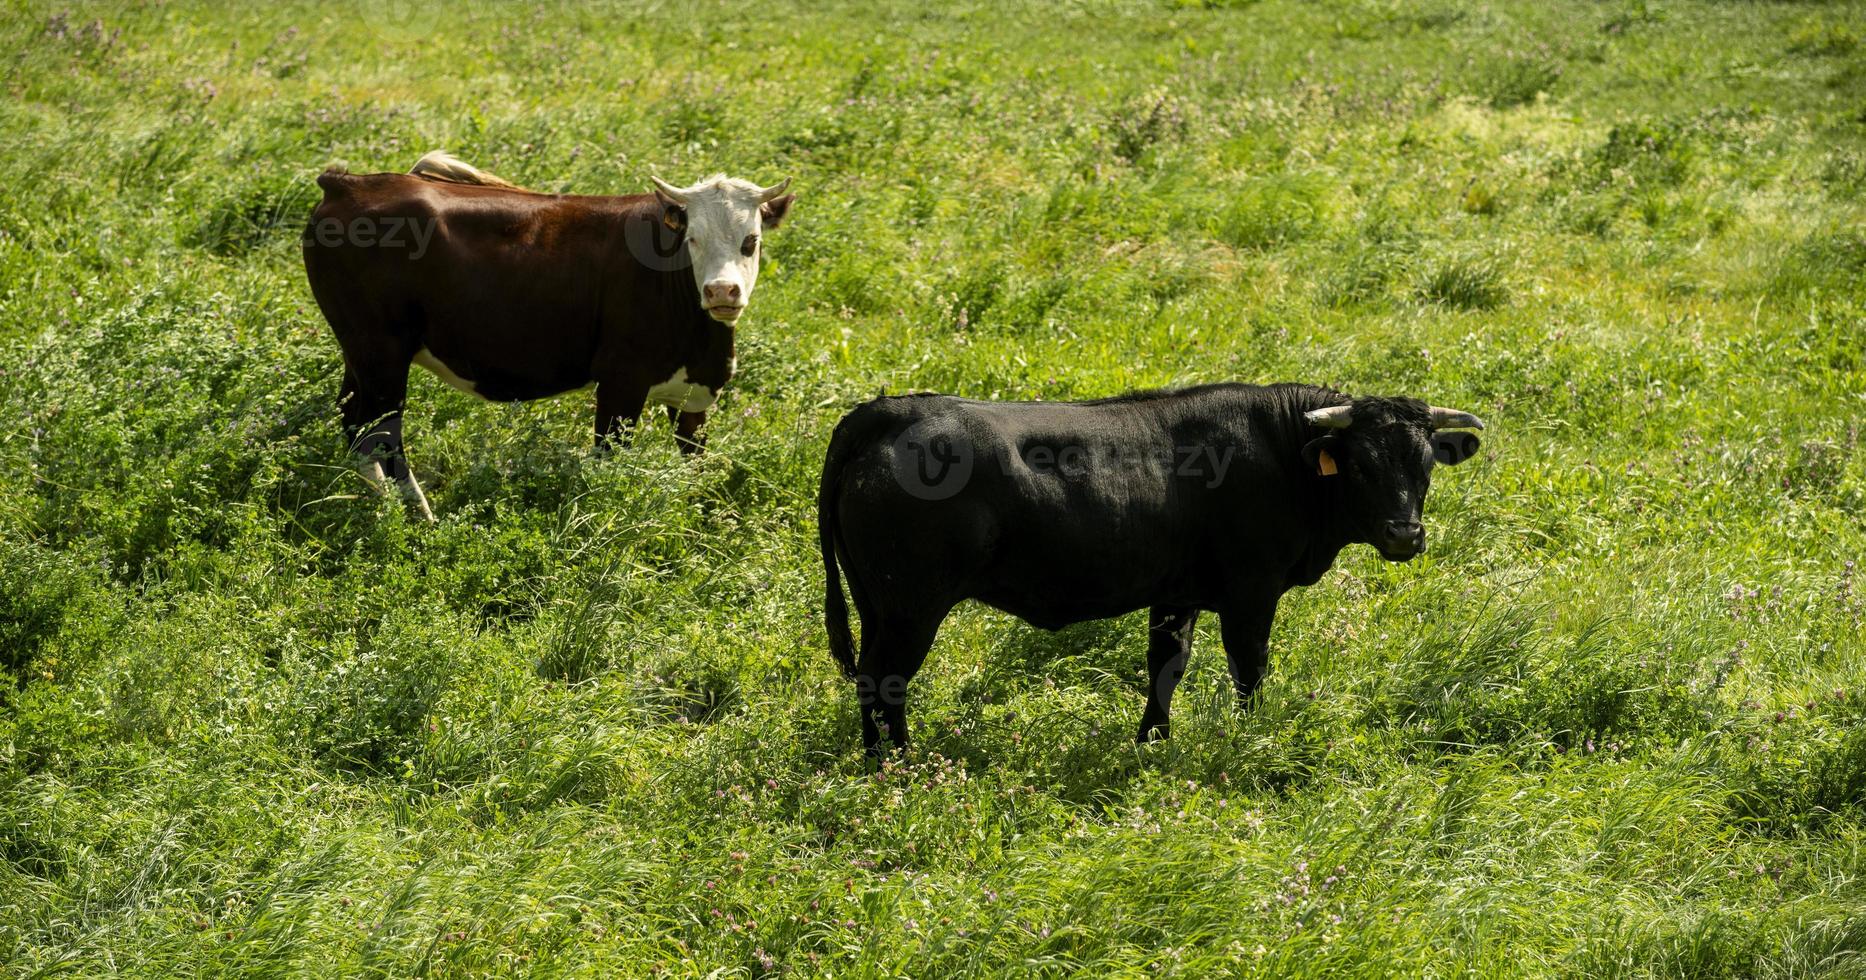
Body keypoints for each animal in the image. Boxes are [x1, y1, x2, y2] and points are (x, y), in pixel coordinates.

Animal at [304, 151, 794, 518]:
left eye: (751, 240)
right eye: (693, 238)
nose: (721, 290)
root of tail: (348, 183)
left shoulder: (692, 396)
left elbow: (696, 467)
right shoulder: (621, 383)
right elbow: (607, 465)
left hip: (361, 353)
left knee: (353, 423)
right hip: (381, 352)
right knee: (381, 433)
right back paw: (418, 517)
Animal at [817, 380, 1485, 750]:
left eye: (1425, 462)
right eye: (1361, 464)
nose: (1405, 534)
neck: (1281, 452)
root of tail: (885, 412)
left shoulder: (1177, 592)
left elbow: (1167, 665)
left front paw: (1152, 743)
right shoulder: (1251, 592)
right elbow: (1250, 670)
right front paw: (1251, 737)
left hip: (876, 603)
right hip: (910, 606)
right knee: (885, 679)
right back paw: (898, 766)